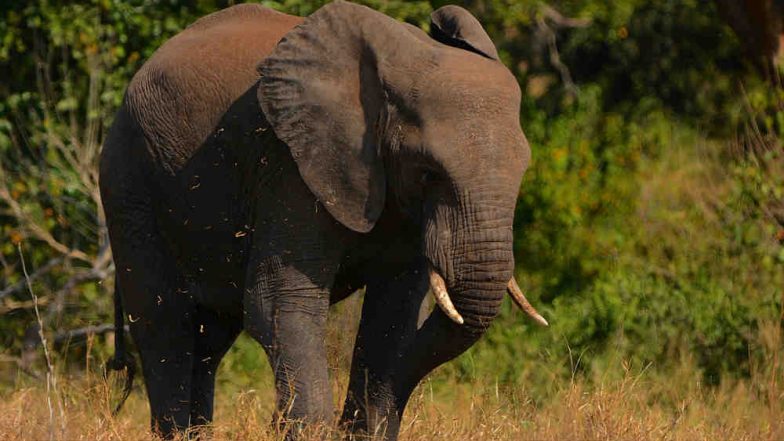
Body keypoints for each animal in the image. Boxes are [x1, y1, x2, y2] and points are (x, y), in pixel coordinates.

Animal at [99, 1, 547, 439]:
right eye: (426, 172)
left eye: (524, 170)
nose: (273, 420)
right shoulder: (290, 163)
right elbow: (278, 301)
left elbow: (396, 315)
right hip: (129, 182)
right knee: (164, 323)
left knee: (210, 337)